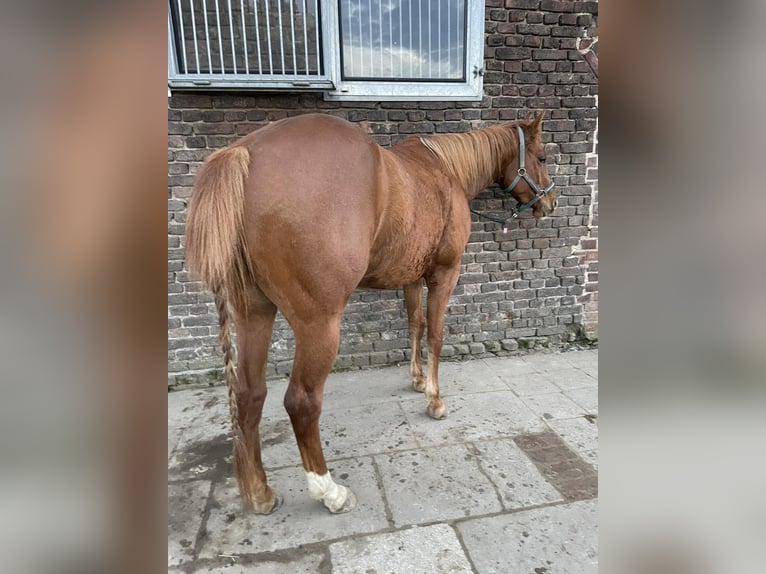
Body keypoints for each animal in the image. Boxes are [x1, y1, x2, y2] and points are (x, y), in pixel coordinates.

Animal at [185, 112, 557, 515]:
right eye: (542, 157)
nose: (550, 201)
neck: (444, 170)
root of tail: (245, 152)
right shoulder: (445, 273)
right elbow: (435, 333)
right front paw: (435, 399)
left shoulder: (411, 278)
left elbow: (414, 324)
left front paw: (417, 379)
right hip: (320, 325)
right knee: (301, 401)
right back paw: (329, 491)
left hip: (253, 312)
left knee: (249, 395)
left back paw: (260, 494)